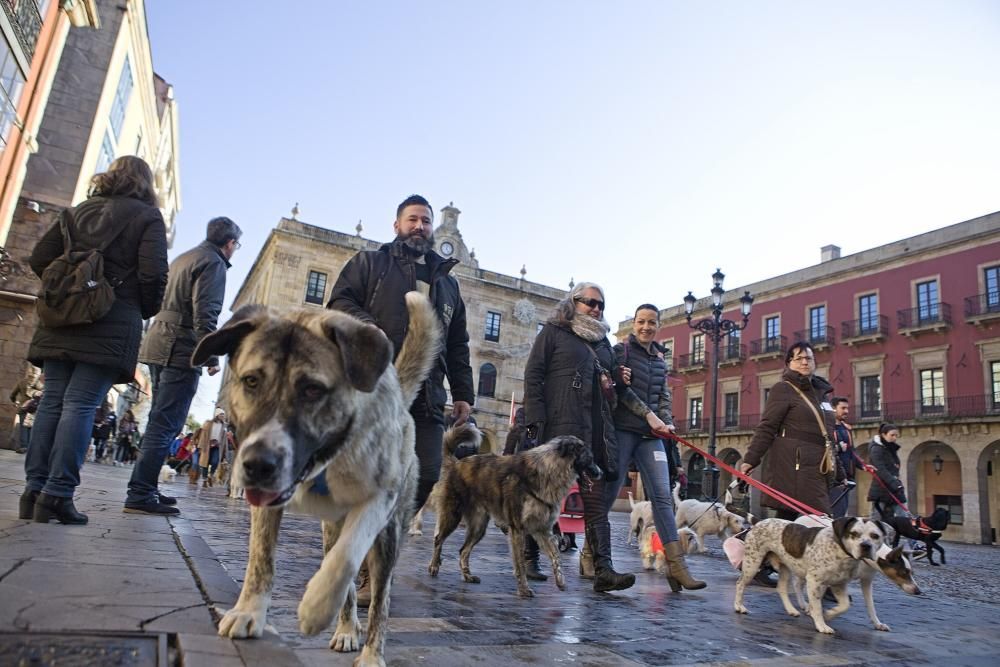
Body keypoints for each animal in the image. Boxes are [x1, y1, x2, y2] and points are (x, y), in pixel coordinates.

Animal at [195, 292, 442, 667]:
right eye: (251, 381)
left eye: (312, 390)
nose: (257, 466)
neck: (328, 459)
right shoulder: (268, 501)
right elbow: (260, 558)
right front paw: (249, 611)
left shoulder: (379, 498)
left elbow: (348, 557)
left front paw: (316, 608)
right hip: (329, 528)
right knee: (346, 580)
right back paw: (346, 628)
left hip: (390, 534)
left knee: (379, 597)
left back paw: (371, 652)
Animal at [428, 428, 600, 600]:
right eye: (590, 458)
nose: (601, 472)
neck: (548, 469)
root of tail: (456, 463)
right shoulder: (518, 529)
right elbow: (521, 564)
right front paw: (524, 589)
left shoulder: (542, 530)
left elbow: (556, 555)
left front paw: (560, 581)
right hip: (453, 515)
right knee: (438, 539)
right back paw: (434, 566)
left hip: (478, 526)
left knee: (463, 550)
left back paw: (467, 576)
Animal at [736, 520, 920, 636]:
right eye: (904, 573)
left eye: (911, 572)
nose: (918, 591)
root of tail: (757, 524)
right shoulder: (820, 580)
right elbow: (820, 604)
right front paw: (821, 617)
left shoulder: (863, 582)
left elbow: (868, 607)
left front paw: (877, 623)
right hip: (753, 564)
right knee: (741, 583)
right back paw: (740, 606)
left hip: (787, 566)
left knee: (783, 587)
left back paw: (793, 609)